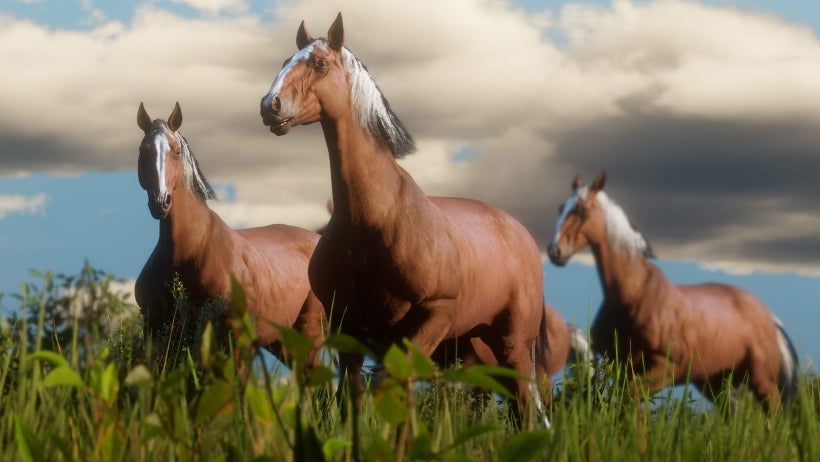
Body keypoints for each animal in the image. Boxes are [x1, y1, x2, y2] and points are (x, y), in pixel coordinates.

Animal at [135, 102, 326, 368]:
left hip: (309, 336)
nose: (160, 202)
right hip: (282, 343)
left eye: (176, 152)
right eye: (143, 150)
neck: (187, 252)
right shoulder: (157, 331)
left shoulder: (235, 337)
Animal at [259, 13, 551, 424]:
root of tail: (520, 233)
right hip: (475, 343)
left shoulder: (432, 317)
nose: (270, 105)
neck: (375, 222)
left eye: (319, 63)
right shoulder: (350, 328)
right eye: (287, 60)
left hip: (512, 344)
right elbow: (355, 400)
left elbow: (391, 389)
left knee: (526, 404)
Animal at [547, 171, 799, 408]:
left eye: (582, 210)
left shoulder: (663, 370)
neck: (633, 295)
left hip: (762, 381)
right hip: (714, 383)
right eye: (560, 208)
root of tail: (771, 320)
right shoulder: (623, 370)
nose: (554, 251)